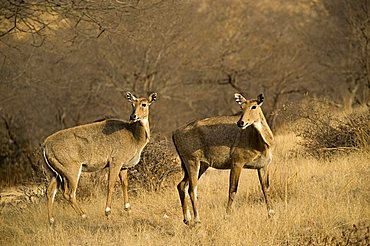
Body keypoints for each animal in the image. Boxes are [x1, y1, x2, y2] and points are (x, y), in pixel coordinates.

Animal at [42, 92, 157, 225]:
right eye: (132, 104)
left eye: (144, 104)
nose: (133, 116)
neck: (133, 135)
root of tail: (45, 145)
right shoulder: (115, 162)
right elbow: (111, 185)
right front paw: (107, 213)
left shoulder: (123, 166)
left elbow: (125, 184)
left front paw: (128, 210)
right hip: (71, 171)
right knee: (69, 194)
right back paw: (84, 216)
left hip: (54, 173)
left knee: (50, 191)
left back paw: (51, 220)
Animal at [173, 93, 274, 224]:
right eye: (241, 107)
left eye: (254, 106)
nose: (241, 123)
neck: (262, 142)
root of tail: (174, 133)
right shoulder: (237, 163)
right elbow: (232, 190)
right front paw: (227, 216)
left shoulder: (263, 166)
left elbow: (265, 188)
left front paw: (271, 214)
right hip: (192, 162)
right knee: (191, 189)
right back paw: (197, 220)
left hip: (201, 165)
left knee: (181, 185)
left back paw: (187, 219)